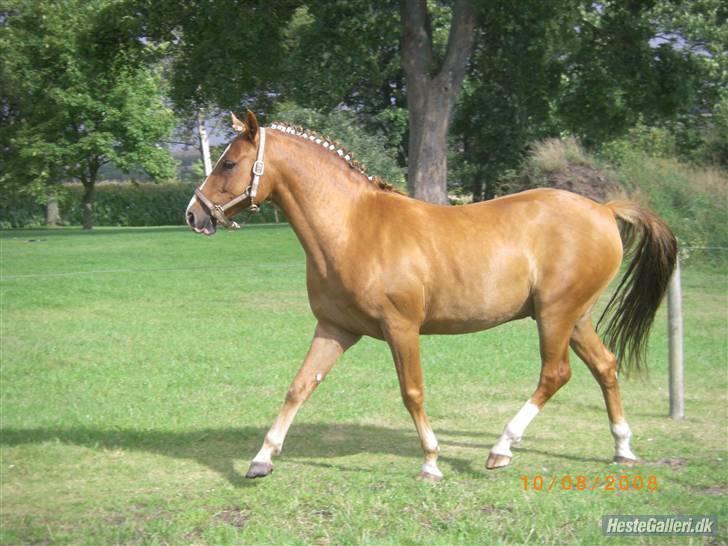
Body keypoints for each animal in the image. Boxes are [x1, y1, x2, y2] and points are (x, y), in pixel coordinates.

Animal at [186, 111, 676, 480]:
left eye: (228, 163)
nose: (193, 214)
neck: (353, 227)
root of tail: (603, 210)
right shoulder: (336, 329)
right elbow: (299, 387)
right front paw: (261, 459)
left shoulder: (401, 328)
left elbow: (412, 392)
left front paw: (431, 462)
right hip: (573, 317)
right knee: (605, 366)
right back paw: (622, 449)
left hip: (556, 315)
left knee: (555, 375)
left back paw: (501, 449)